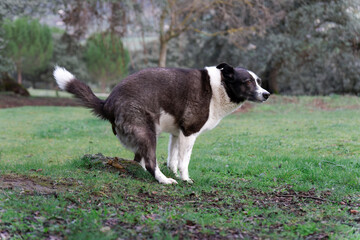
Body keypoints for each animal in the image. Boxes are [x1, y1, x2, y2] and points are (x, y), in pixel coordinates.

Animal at [52, 62, 268, 184]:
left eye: (258, 81)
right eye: (248, 82)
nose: (267, 94)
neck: (219, 86)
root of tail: (108, 102)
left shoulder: (177, 134)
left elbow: (173, 159)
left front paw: (174, 171)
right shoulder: (189, 132)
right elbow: (184, 161)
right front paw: (185, 179)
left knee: (140, 160)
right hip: (147, 132)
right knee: (148, 162)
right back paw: (164, 180)